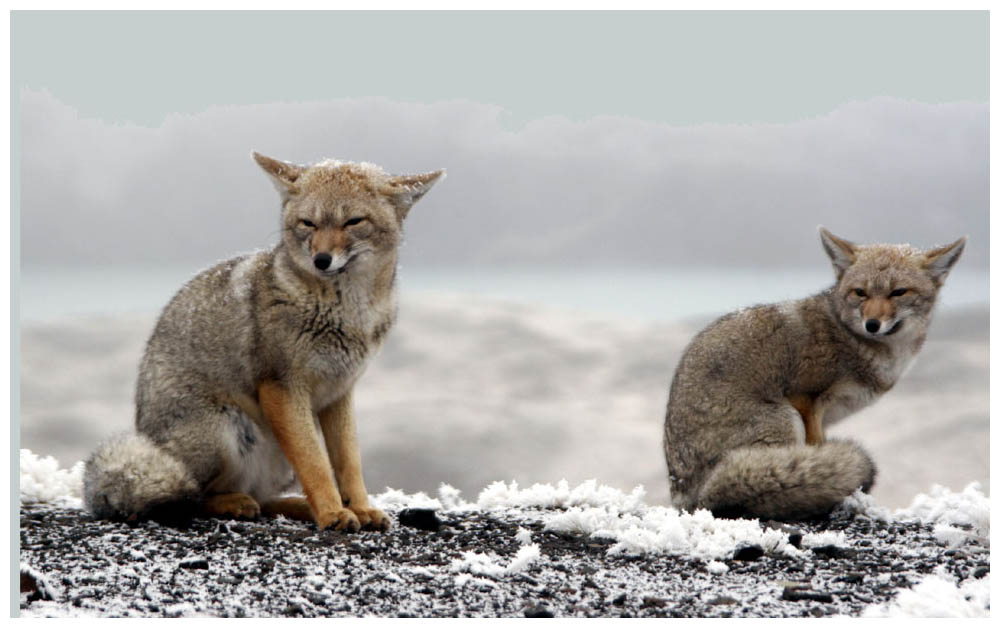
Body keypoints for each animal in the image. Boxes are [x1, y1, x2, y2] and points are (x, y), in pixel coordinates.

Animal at [84, 152, 444, 528]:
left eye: (353, 221)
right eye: (308, 223)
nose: (321, 260)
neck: (347, 314)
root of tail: (148, 437)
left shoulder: (340, 392)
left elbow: (348, 463)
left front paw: (359, 508)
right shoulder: (281, 387)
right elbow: (316, 465)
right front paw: (333, 513)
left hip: (276, 457)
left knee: (262, 497)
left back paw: (298, 507)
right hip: (227, 431)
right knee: (194, 496)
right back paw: (237, 503)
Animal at [660, 226, 964, 520]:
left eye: (898, 292)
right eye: (860, 292)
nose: (872, 324)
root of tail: (685, 494)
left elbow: (821, 452)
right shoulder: (806, 399)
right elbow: (815, 450)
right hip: (785, 418)